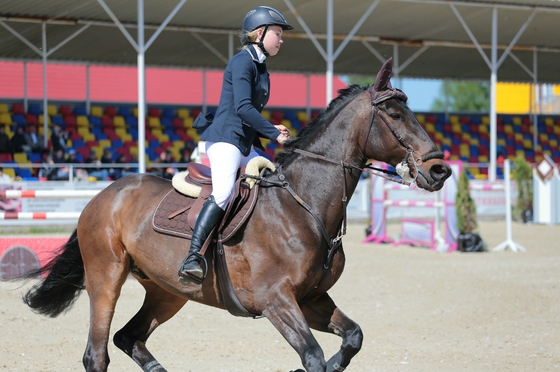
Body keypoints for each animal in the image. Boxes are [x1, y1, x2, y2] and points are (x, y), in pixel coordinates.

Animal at [17, 58, 452, 372]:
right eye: (395, 115)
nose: (439, 170)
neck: (303, 206)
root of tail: (104, 195)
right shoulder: (276, 301)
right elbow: (313, 358)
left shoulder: (312, 298)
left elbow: (353, 338)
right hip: (106, 277)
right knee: (97, 353)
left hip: (167, 290)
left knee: (129, 337)